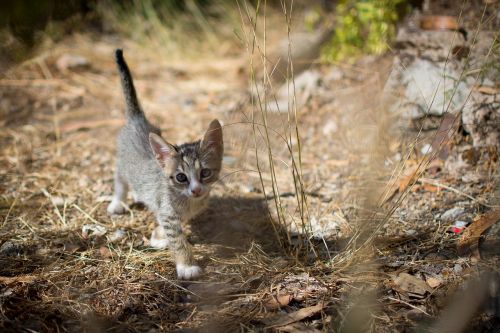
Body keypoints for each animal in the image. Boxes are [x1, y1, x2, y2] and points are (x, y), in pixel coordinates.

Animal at [108, 48, 224, 278]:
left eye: (205, 173)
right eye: (181, 177)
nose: (196, 190)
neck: (188, 201)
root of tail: (137, 119)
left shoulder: (170, 213)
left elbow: (164, 222)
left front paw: (158, 235)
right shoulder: (169, 214)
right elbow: (178, 241)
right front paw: (186, 265)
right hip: (121, 164)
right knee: (119, 182)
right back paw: (117, 201)